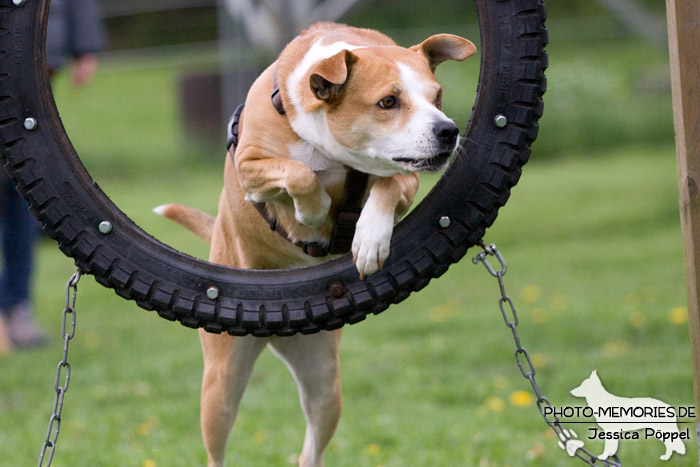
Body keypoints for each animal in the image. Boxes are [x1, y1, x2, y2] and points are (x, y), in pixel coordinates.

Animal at [157, 22, 476, 467]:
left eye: (437, 97)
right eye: (388, 101)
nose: (448, 130)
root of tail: (275, 326)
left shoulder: (407, 174)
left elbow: (387, 185)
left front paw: (369, 238)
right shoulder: (251, 166)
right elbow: (300, 173)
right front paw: (313, 210)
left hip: (325, 384)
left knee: (310, 448)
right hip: (221, 384)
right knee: (216, 448)